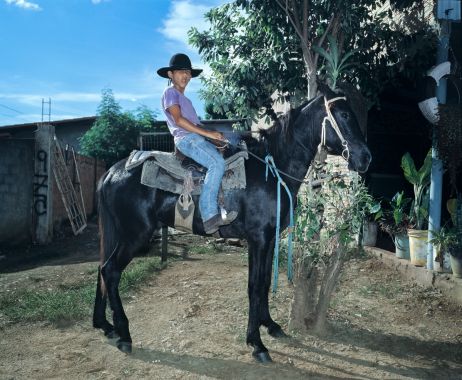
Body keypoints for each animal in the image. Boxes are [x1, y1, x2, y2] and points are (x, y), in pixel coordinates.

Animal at [93, 88, 372, 362]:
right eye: (344, 115)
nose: (366, 158)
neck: (272, 170)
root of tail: (112, 172)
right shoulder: (258, 239)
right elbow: (254, 286)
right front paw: (256, 343)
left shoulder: (269, 239)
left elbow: (264, 282)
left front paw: (270, 325)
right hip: (135, 235)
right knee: (111, 271)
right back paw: (124, 334)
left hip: (119, 234)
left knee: (102, 268)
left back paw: (104, 325)